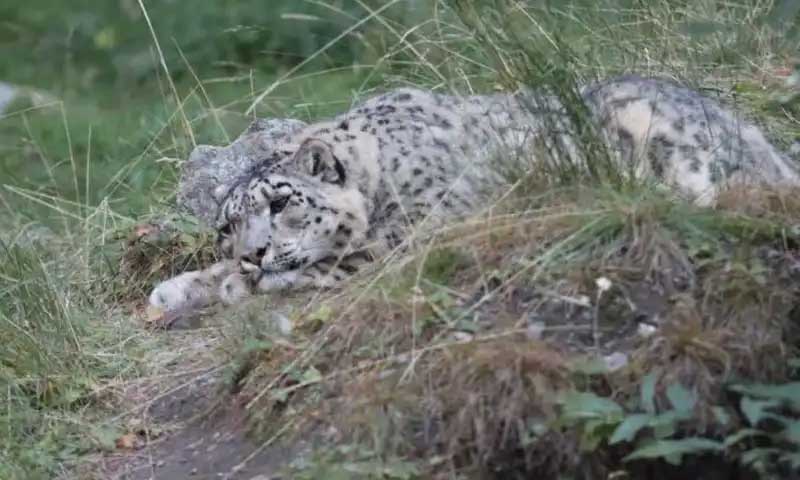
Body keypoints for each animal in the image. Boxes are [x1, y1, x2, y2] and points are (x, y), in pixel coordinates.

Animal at [148, 75, 800, 314]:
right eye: (227, 226)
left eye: (283, 203)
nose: (252, 253)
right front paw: (179, 287)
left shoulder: (419, 233)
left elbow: (338, 260)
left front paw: (235, 284)